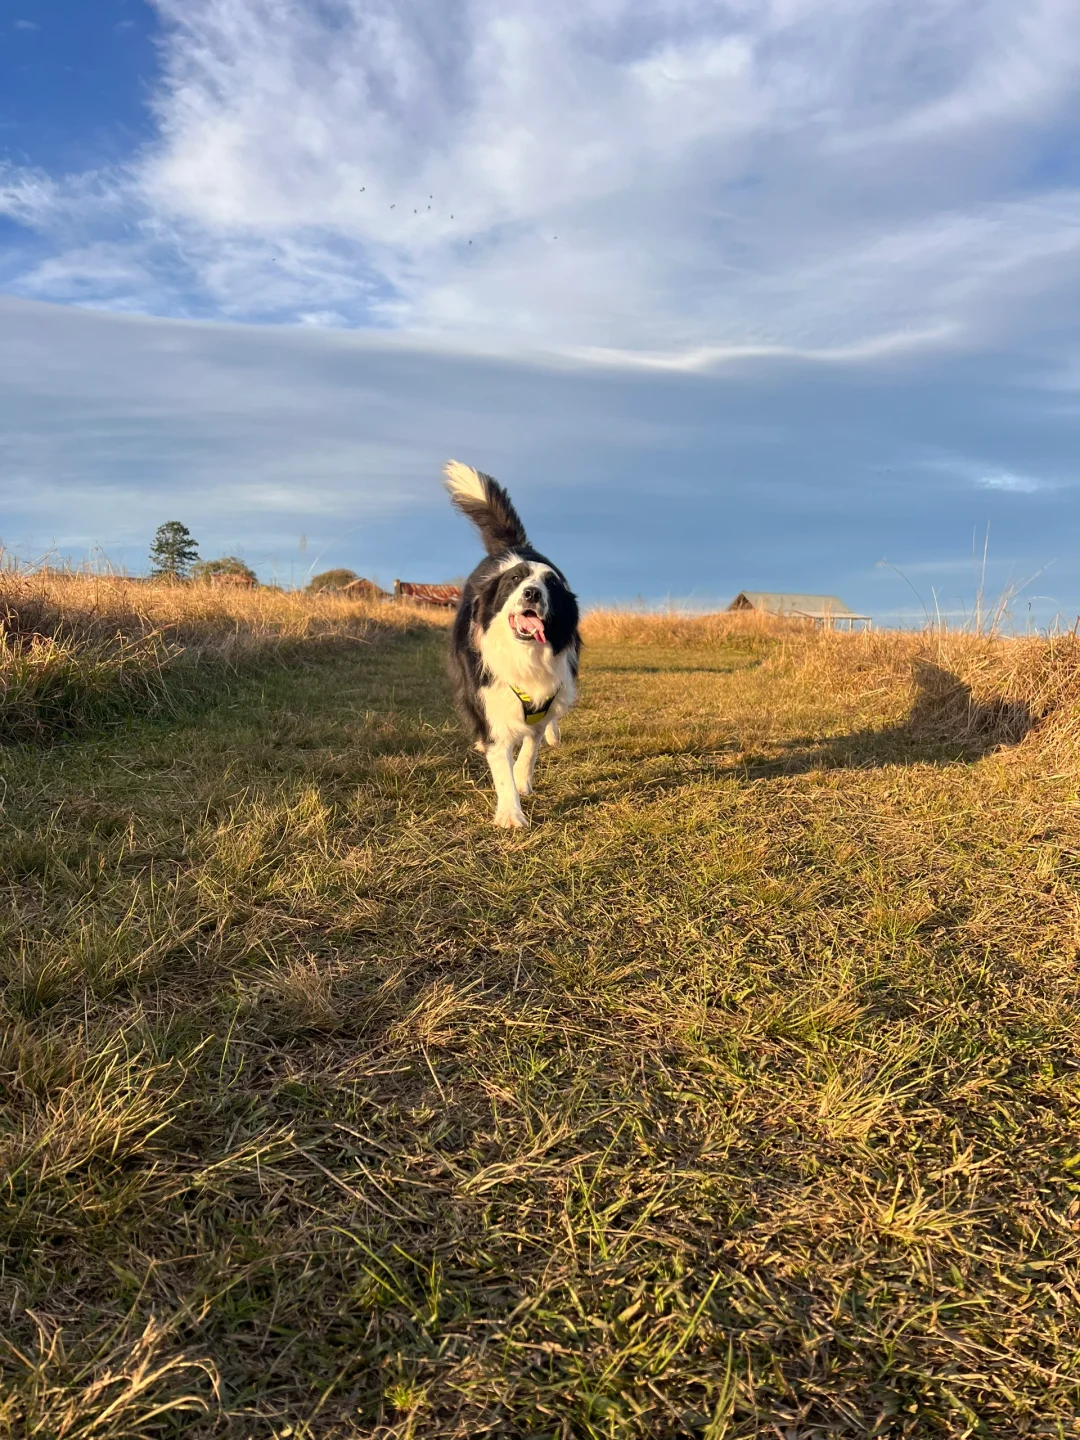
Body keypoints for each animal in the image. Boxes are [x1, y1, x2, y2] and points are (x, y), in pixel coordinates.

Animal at [444, 461, 580, 828]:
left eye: (552, 585)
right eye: (515, 581)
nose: (532, 593)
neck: (523, 655)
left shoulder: (546, 692)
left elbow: (531, 745)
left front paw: (522, 779)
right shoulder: (492, 697)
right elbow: (500, 757)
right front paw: (510, 812)